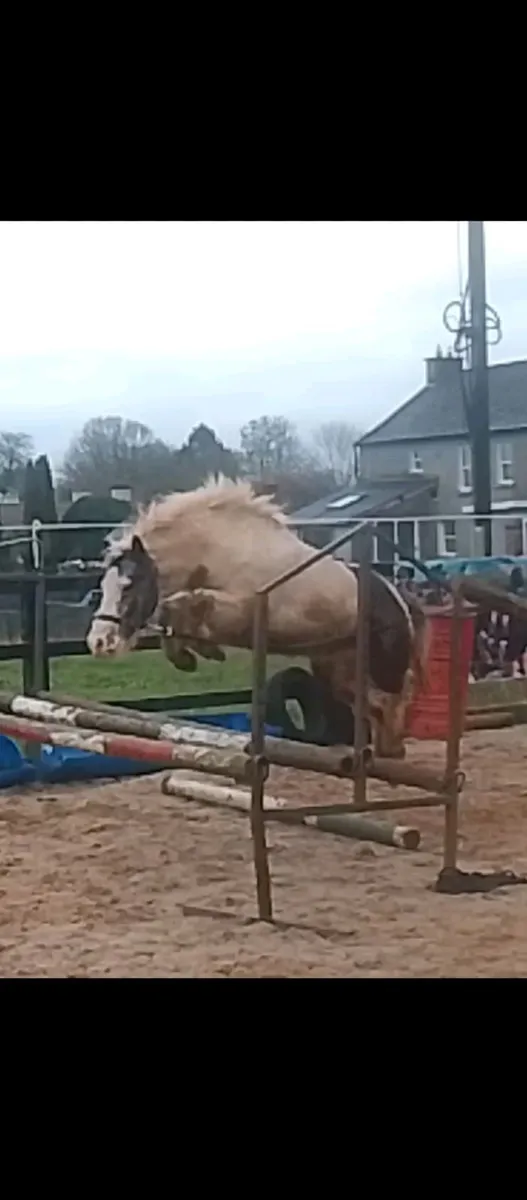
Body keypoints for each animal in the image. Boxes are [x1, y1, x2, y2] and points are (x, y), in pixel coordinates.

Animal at [86, 477, 429, 758]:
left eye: (129, 585)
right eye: (102, 587)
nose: (98, 643)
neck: (217, 549)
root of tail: (399, 598)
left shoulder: (243, 611)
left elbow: (184, 604)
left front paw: (199, 652)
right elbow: (178, 610)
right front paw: (190, 654)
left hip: (383, 662)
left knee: (397, 694)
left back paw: (393, 749)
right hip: (337, 670)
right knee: (373, 703)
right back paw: (383, 750)